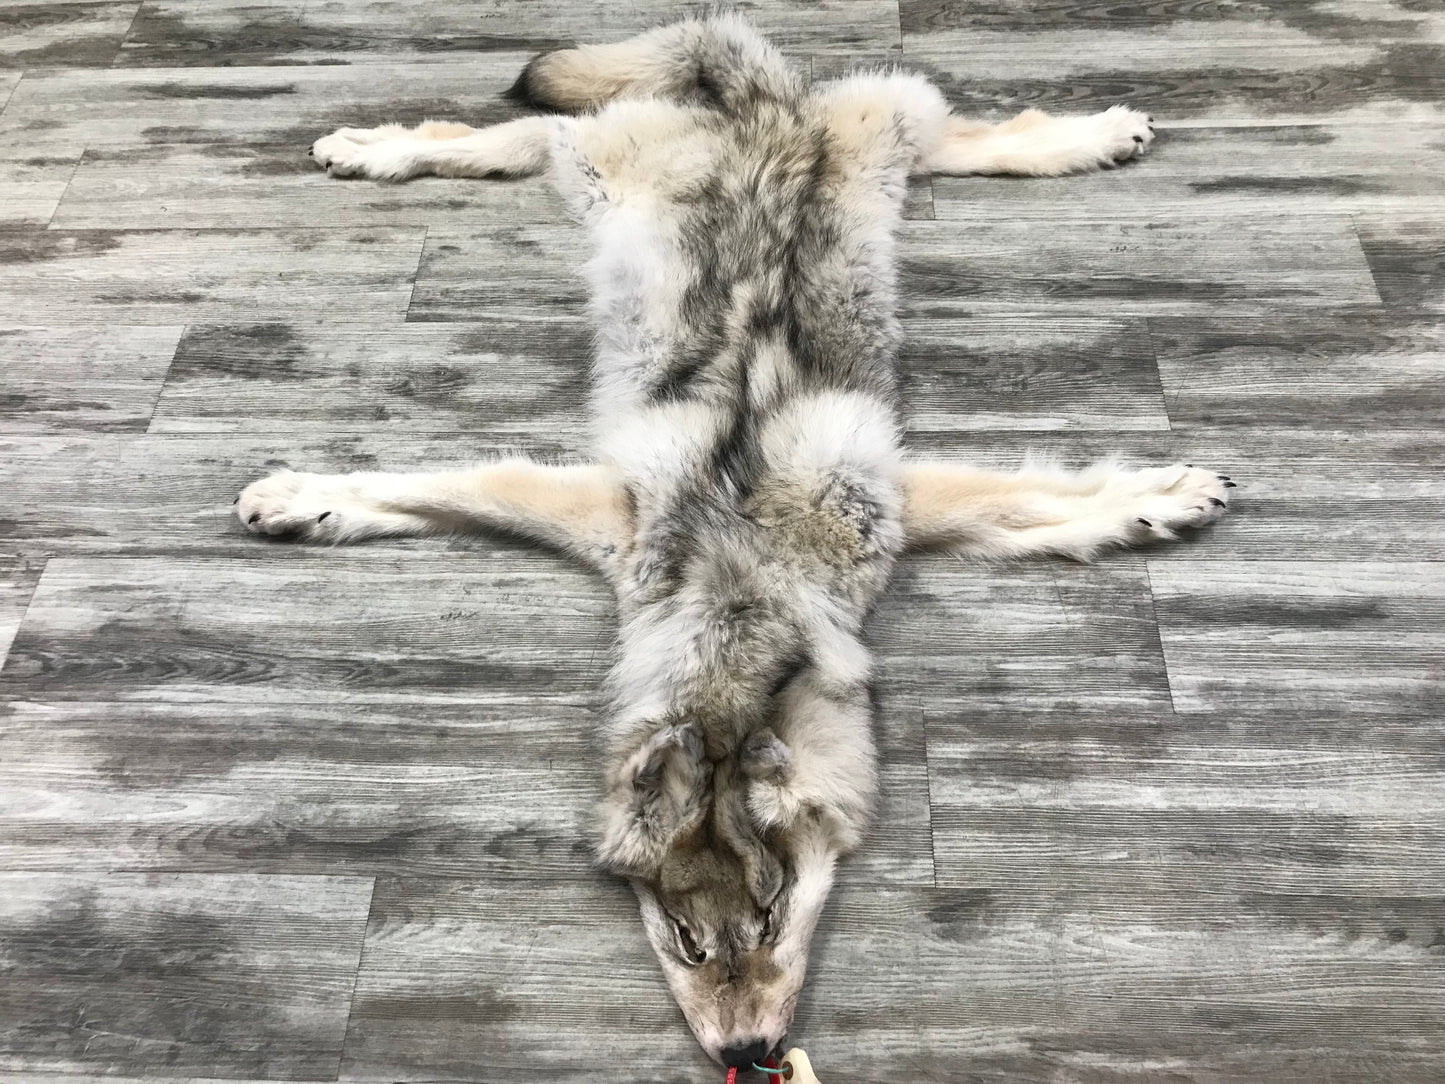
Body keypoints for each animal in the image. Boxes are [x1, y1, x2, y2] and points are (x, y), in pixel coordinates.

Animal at [235, 12, 1231, 1069]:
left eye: (770, 916)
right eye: (686, 940)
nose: (748, 1054)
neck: (736, 581)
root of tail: (761, 108)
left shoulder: (888, 502)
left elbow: (1047, 500)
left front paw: (1162, 494)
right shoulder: (606, 510)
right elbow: (436, 487)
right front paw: (300, 498)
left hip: (835, 148)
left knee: (955, 133)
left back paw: (1094, 133)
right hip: (613, 168)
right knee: (515, 136)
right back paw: (375, 148)